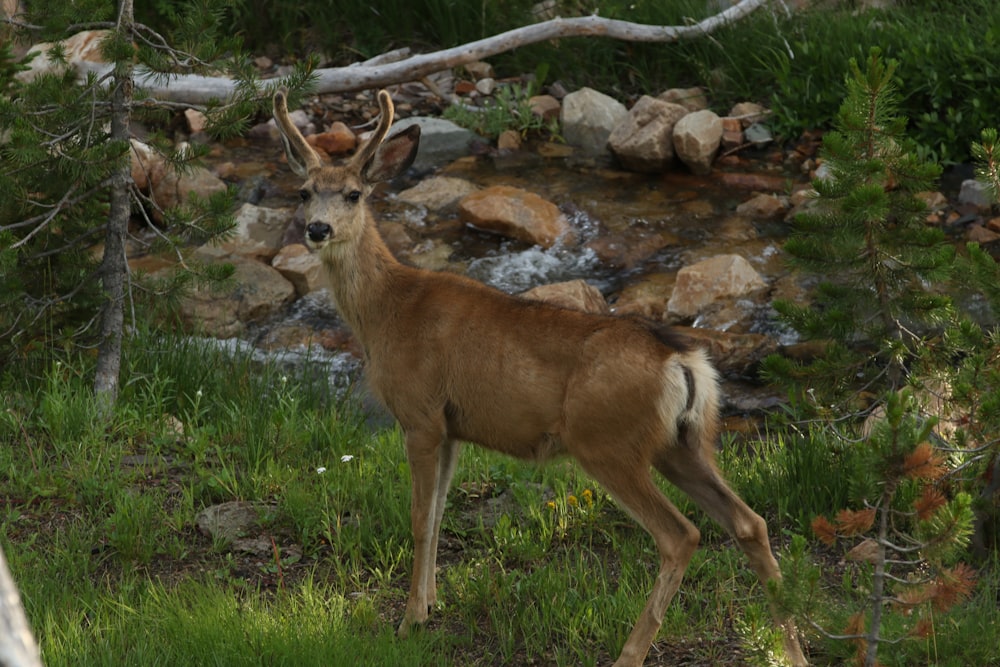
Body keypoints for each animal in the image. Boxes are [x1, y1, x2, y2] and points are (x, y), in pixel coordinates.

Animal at [274, 88, 812, 667]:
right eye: (304, 192)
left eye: (353, 194)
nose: (317, 229)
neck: (386, 311)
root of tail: (682, 360)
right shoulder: (452, 427)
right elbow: (438, 514)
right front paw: (433, 602)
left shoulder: (419, 414)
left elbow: (418, 518)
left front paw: (410, 618)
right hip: (683, 442)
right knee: (749, 522)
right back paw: (793, 651)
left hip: (606, 441)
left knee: (681, 535)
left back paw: (629, 653)